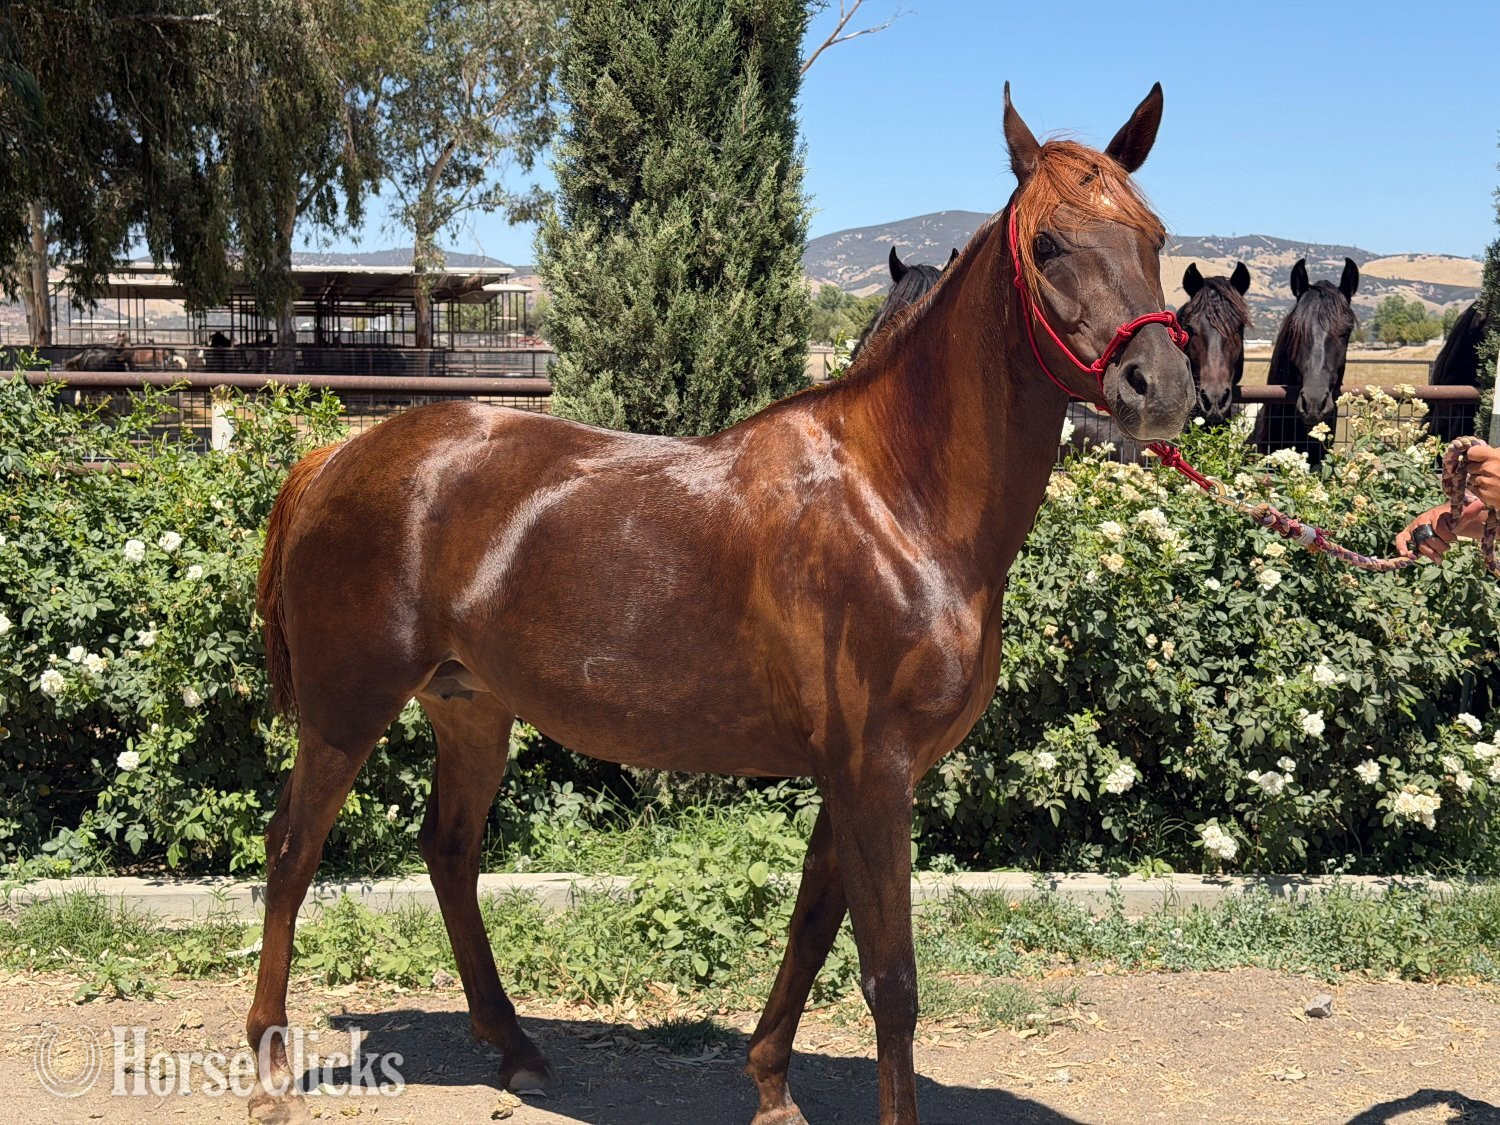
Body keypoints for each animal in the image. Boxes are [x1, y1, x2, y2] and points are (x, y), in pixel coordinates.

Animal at [245, 83, 1192, 1125]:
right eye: (1052, 242)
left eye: (1154, 236)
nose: (1162, 387)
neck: (896, 498)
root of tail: (341, 454)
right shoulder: (874, 773)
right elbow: (891, 979)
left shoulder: (852, 775)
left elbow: (811, 929)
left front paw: (770, 1083)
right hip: (347, 710)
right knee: (291, 851)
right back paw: (270, 1065)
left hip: (470, 709)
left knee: (449, 852)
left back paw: (515, 1046)